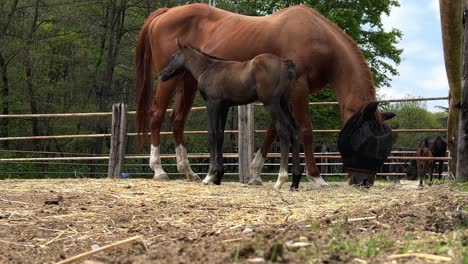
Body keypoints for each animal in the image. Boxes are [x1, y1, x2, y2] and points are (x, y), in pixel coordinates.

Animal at [159, 45, 302, 190]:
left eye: (174, 57)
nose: (162, 74)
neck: (207, 69)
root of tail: (284, 63)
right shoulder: (224, 107)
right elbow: (220, 135)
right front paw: (218, 177)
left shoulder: (212, 104)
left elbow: (212, 135)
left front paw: (209, 176)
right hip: (284, 103)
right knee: (294, 130)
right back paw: (295, 181)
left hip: (272, 104)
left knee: (283, 130)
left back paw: (280, 180)